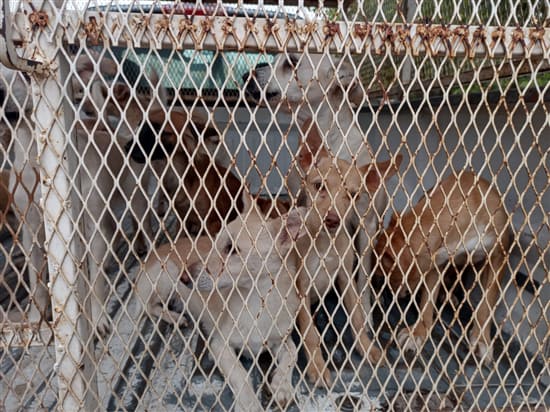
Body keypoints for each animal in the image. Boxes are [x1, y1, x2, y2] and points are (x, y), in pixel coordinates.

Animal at [134, 194, 306, 412]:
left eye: (232, 249)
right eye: (214, 241)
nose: (184, 277)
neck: (256, 302)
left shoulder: (281, 339)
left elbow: (293, 354)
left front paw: (281, 386)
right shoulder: (219, 345)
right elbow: (240, 374)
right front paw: (249, 404)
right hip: (165, 276)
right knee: (149, 307)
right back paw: (174, 317)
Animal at [296, 127, 404, 384]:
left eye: (353, 195)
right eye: (319, 186)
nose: (332, 220)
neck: (325, 242)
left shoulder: (346, 278)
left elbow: (356, 317)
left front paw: (367, 348)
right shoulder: (302, 285)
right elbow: (310, 332)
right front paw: (317, 366)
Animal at [378, 172, 512, 366]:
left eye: (388, 271)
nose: (388, 289)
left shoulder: (497, 256)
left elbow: (487, 303)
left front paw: (481, 339)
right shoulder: (437, 262)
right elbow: (427, 299)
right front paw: (418, 332)